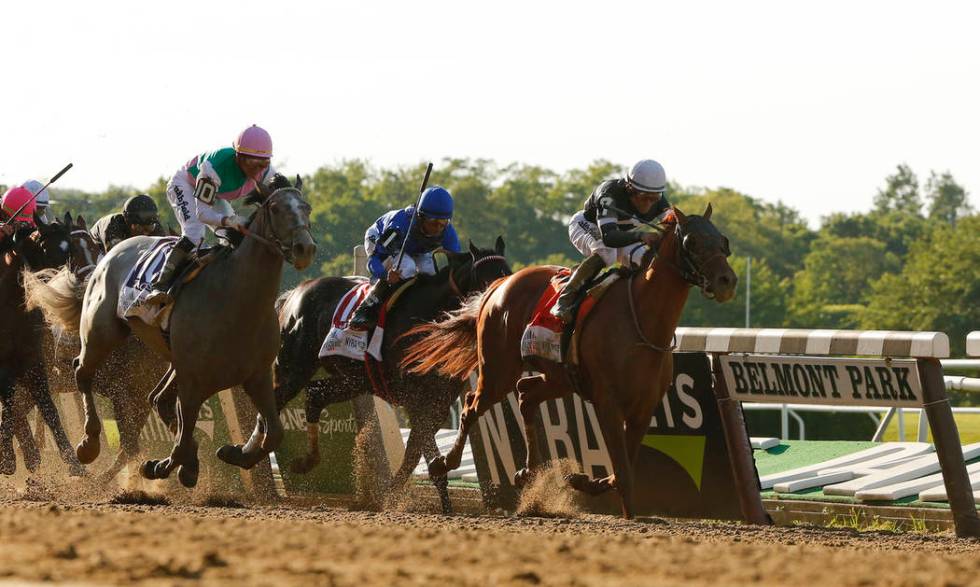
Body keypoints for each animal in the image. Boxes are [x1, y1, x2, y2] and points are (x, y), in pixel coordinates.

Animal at [0, 215, 85, 478]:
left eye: (72, 249)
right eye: (46, 249)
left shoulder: (33, 361)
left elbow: (47, 407)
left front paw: (73, 462)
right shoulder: (5, 367)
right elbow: (11, 405)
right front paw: (8, 459)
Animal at [28, 178, 316, 486]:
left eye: (307, 207)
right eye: (275, 208)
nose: (305, 248)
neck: (236, 300)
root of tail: (110, 258)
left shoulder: (257, 376)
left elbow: (274, 433)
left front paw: (232, 453)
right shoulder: (189, 380)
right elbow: (175, 437)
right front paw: (163, 465)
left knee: (157, 400)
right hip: (101, 333)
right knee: (82, 371)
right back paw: (88, 445)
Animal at [272, 238, 510, 510]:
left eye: (507, 273)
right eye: (485, 278)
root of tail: (293, 294)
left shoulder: (437, 404)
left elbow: (413, 455)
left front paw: (393, 495)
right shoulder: (415, 400)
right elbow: (425, 453)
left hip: (353, 381)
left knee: (314, 395)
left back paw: (306, 461)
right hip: (294, 368)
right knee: (275, 401)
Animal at [400, 207, 736, 520]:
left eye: (723, 241)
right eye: (691, 241)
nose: (727, 281)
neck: (641, 320)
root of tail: (499, 284)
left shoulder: (643, 407)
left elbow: (623, 466)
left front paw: (583, 481)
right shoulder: (607, 402)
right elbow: (622, 469)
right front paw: (625, 513)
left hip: (559, 377)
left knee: (526, 393)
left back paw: (528, 471)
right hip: (498, 370)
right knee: (472, 404)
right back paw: (444, 462)